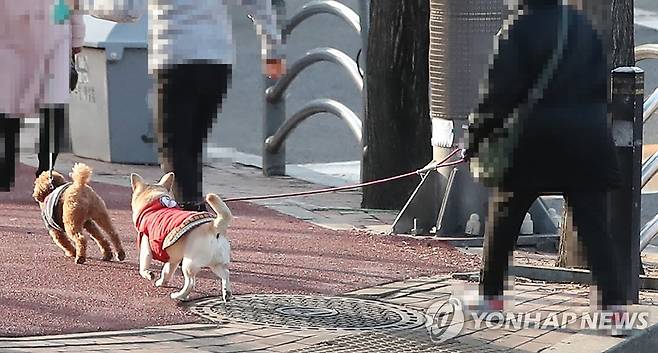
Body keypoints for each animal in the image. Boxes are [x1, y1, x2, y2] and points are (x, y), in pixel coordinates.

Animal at [129, 171, 232, 300]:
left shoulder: (146, 248)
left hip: (188, 265)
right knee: (225, 274)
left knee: (190, 283)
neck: (156, 203)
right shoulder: (173, 259)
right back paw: (226, 292)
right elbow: (167, 272)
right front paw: (162, 282)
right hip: (216, 264)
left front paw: (148, 275)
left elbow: (143, 267)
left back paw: (179, 296)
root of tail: (213, 227)